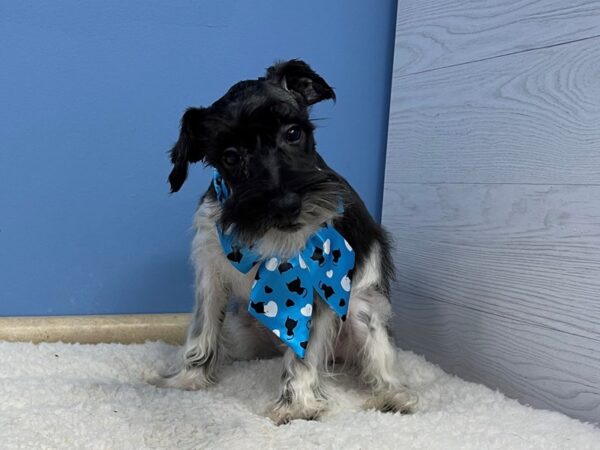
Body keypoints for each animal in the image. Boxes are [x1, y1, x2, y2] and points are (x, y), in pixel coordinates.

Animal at [155, 60, 418, 426]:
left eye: (293, 133)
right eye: (230, 157)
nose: (285, 204)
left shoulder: (317, 281)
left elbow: (304, 354)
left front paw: (297, 405)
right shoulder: (210, 271)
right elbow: (201, 330)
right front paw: (188, 379)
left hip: (365, 315)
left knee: (382, 365)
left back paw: (394, 397)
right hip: (241, 330)